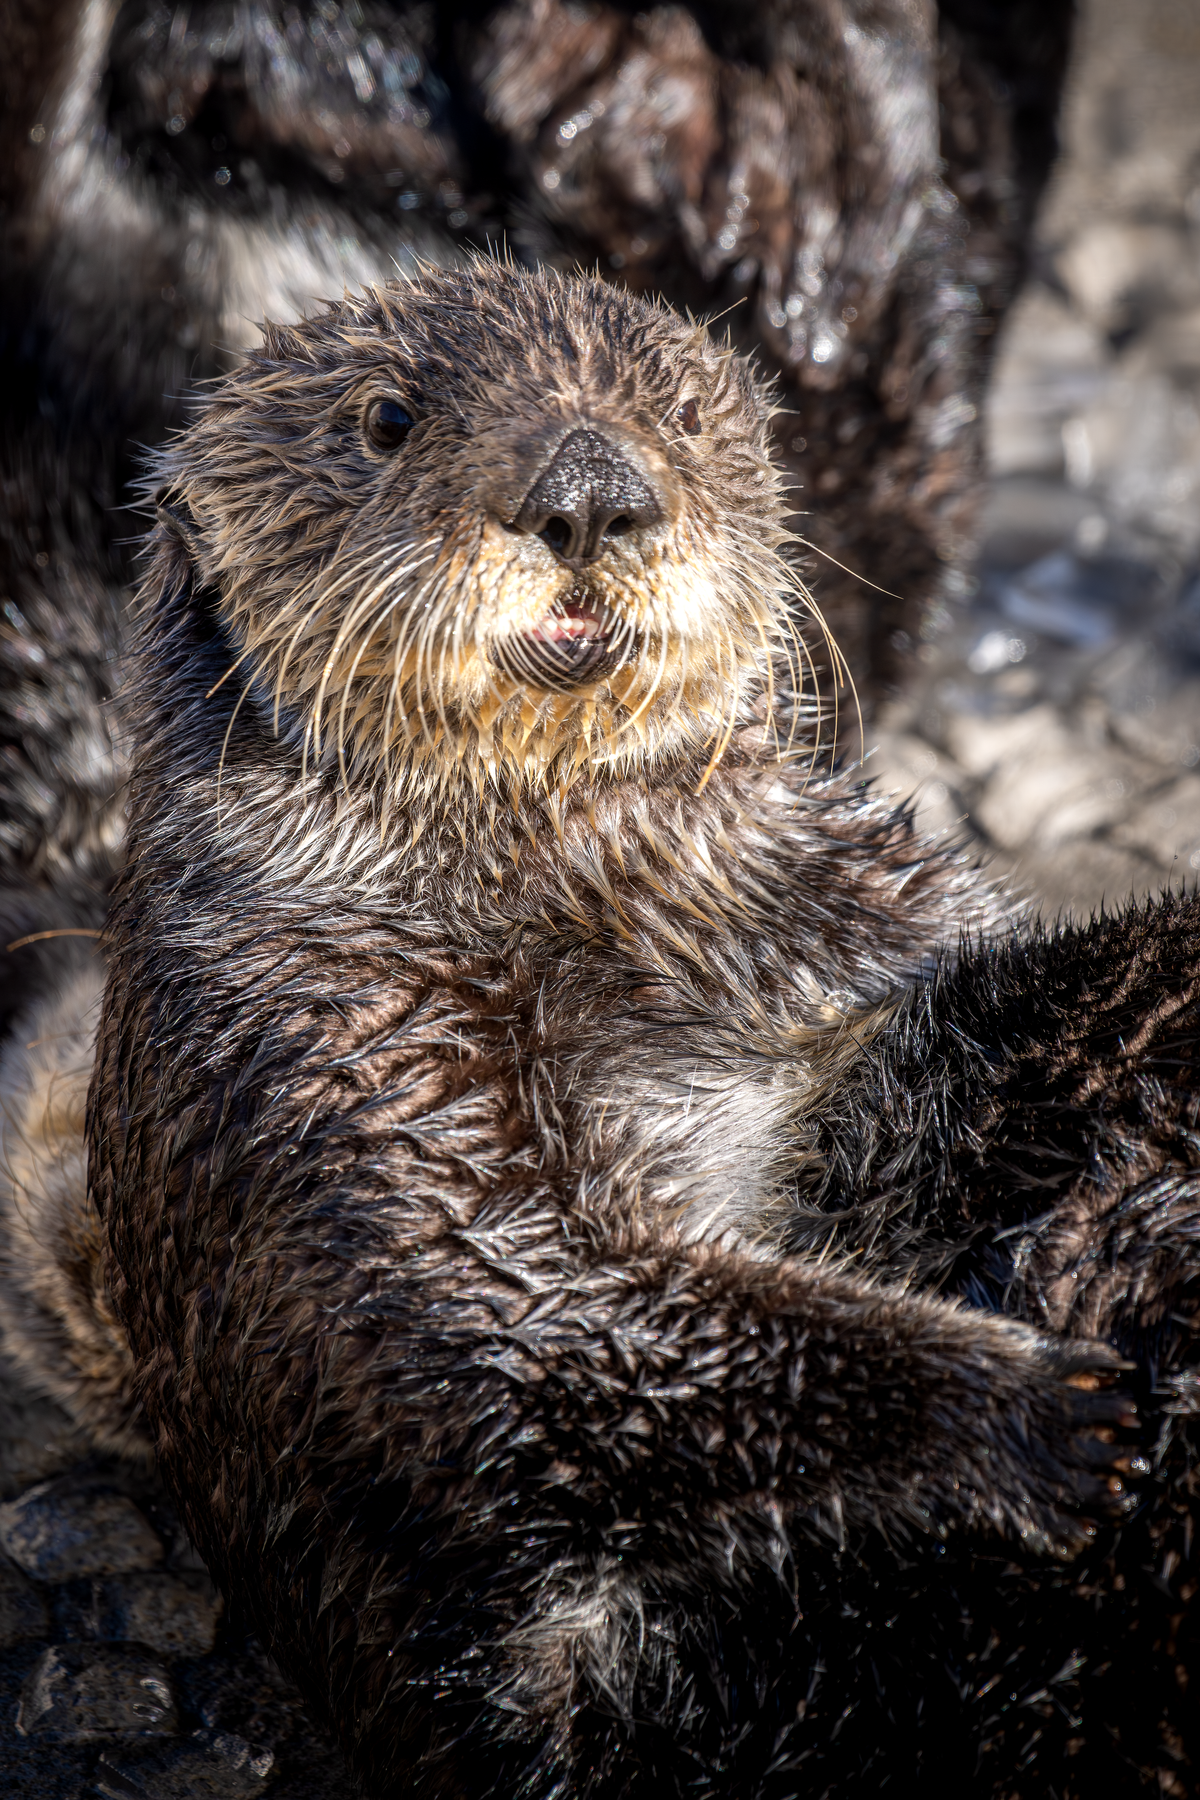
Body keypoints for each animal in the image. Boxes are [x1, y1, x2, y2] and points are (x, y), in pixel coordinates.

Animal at [77, 260, 1184, 1798]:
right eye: (387, 419)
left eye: (675, 412)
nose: (590, 492)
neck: (611, 884)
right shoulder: (332, 1057)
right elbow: (552, 1334)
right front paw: (1031, 1407)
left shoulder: (879, 944)